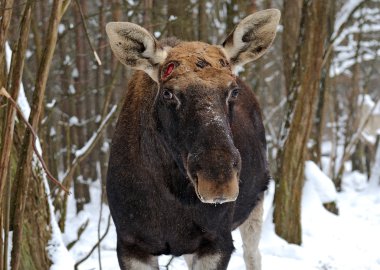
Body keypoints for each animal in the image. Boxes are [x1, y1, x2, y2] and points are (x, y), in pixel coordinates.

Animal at [105, 8, 280, 270]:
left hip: (255, 205)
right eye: (168, 93)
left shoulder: (217, 241)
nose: (218, 180)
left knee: (253, 255)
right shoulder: (130, 244)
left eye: (233, 90)